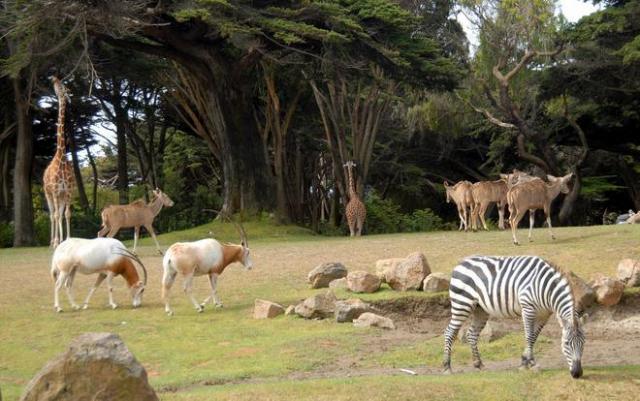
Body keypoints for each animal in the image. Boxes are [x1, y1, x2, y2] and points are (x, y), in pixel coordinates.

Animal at [444, 255, 584, 376]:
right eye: (566, 343)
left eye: (583, 343)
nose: (577, 373)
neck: (546, 288)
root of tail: (460, 263)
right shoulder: (528, 309)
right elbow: (529, 336)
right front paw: (529, 364)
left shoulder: (544, 315)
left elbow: (534, 337)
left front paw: (526, 362)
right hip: (462, 304)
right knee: (449, 332)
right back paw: (447, 367)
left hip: (480, 309)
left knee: (471, 334)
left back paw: (478, 364)